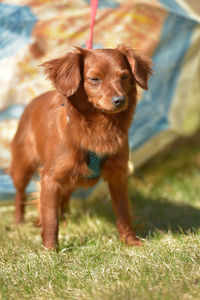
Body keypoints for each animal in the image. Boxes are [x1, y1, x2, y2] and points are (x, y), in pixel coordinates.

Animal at [9, 45, 153, 250]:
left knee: (64, 197)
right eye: (94, 79)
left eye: (124, 76)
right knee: (20, 194)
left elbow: (123, 212)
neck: (98, 126)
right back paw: (19, 222)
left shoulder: (118, 176)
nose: (120, 100)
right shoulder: (50, 179)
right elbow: (50, 218)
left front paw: (130, 242)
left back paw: (66, 220)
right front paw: (50, 251)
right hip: (24, 166)